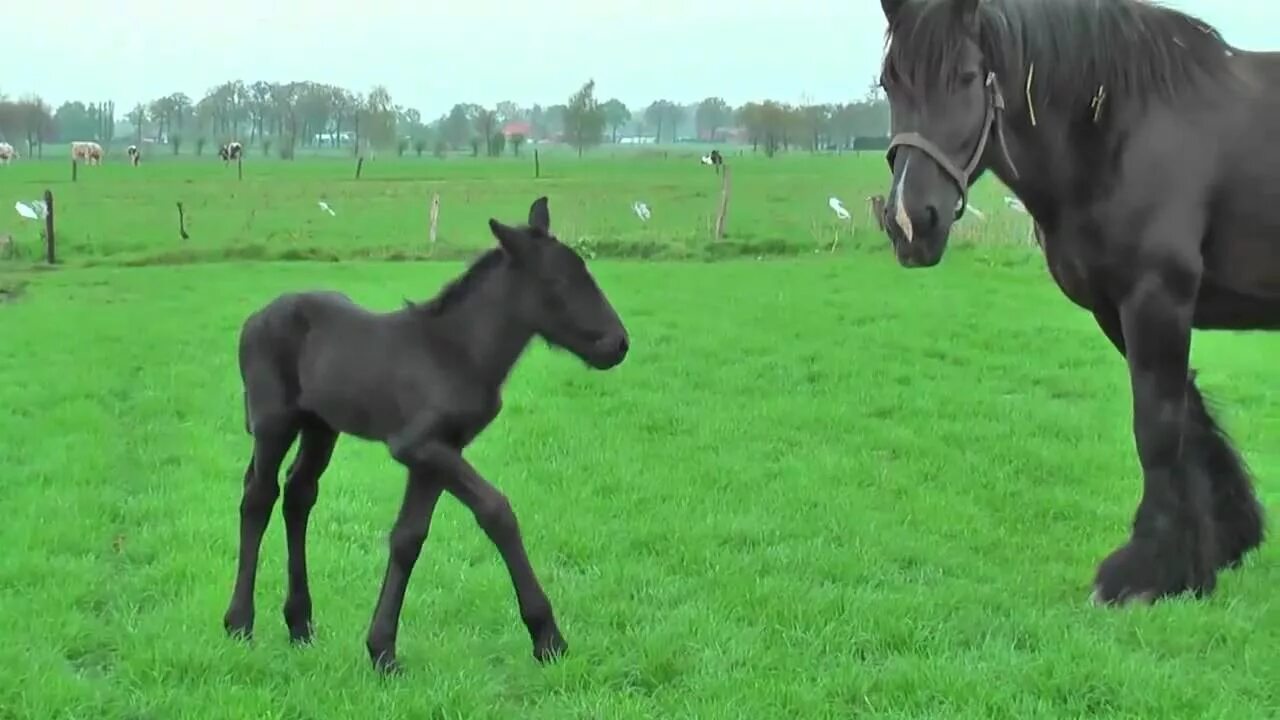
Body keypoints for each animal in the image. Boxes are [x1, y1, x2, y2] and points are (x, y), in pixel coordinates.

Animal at [880, 0, 1280, 604]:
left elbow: (1157, 427)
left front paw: (1142, 573)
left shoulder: (1156, 297)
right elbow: (1187, 415)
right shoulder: (1117, 308)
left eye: (968, 78)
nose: (910, 223)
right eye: (889, 84)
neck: (1118, 126)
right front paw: (1215, 548)